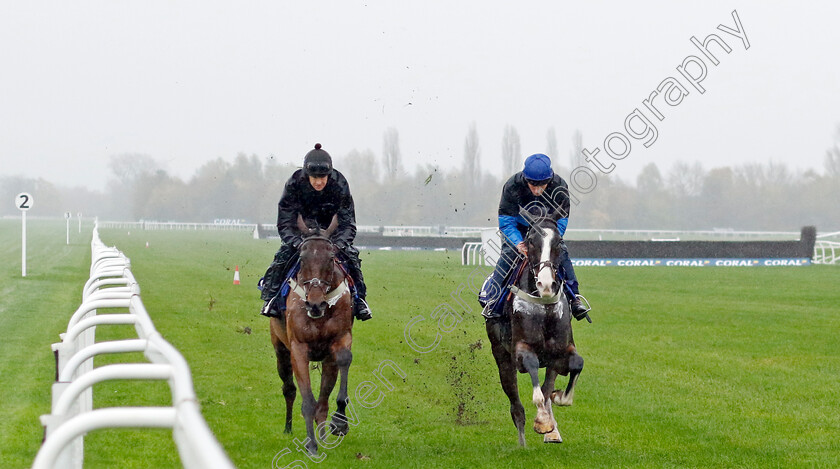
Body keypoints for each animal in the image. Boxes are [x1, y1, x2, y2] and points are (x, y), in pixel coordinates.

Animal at [270, 215, 354, 454]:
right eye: (302, 256)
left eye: (331, 257)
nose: (315, 304)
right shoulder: (298, 348)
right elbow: (307, 400)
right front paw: (311, 445)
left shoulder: (340, 338)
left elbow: (344, 358)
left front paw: (340, 422)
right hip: (280, 349)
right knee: (289, 389)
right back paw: (289, 427)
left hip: (326, 360)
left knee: (323, 401)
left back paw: (324, 435)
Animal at [486, 214, 584, 444]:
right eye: (530, 240)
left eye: (559, 242)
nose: (546, 284)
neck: (544, 307)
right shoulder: (520, 350)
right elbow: (534, 375)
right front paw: (542, 422)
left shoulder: (561, 350)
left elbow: (576, 365)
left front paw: (558, 400)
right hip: (501, 356)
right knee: (516, 407)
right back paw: (523, 441)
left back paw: (553, 431)